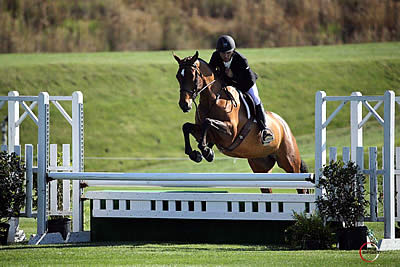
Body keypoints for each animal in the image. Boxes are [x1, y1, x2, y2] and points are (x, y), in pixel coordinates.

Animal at [173, 50, 308, 193]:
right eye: (178, 76)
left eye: (193, 76)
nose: (184, 105)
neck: (214, 99)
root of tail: (283, 125)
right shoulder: (206, 133)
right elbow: (187, 126)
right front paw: (196, 154)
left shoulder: (231, 134)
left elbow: (208, 122)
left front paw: (206, 151)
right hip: (260, 166)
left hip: (290, 162)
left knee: (300, 185)